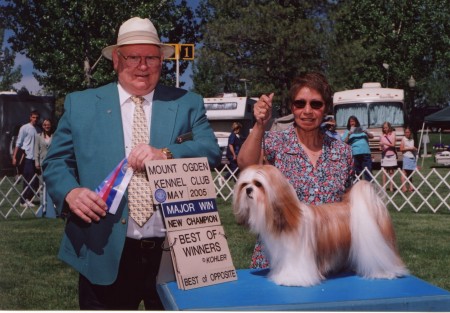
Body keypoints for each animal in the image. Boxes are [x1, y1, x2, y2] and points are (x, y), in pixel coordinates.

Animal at [234, 165, 410, 286]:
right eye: (244, 184)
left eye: (258, 184)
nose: (248, 190)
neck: (286, 218)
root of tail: (376, 207)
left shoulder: (297, 255)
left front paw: (291, 279)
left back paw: (385, 272)